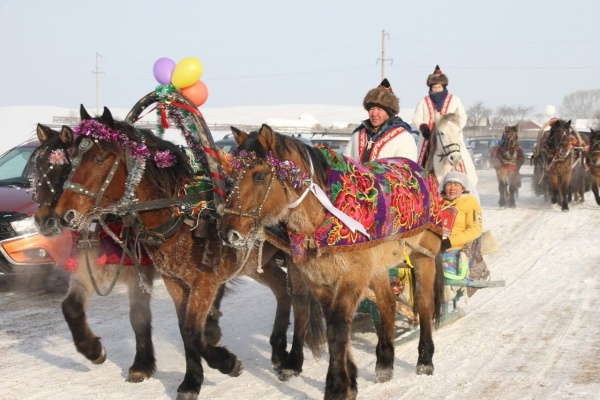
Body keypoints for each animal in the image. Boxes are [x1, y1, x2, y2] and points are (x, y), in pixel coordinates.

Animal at [50, 107, 324, 400]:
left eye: (100, 158)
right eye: (73, 158)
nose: (64, 215)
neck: (180, 213)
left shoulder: (205, 282)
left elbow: (193, 329)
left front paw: (226, 363)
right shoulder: (174, 280)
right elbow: (184, 329)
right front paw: (192, 380)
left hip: (296, 258)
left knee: (301, 302)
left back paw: (293, 361)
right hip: (257, 263)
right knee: (282, 291)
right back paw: (278, 350)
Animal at [219, 125, 446, 400]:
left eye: (260, 176)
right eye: (232, 175)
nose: (229, 233)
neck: (322, 217)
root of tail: (421, 171)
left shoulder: (352, 278)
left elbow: (337, 329)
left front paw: (337, 386)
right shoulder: (320, 281)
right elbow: (333, 326)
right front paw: (351, 380)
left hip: (423, 256)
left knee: (424, 305)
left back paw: (425, 360)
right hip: (378, 267)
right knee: (387, 304)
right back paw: (384, 362)